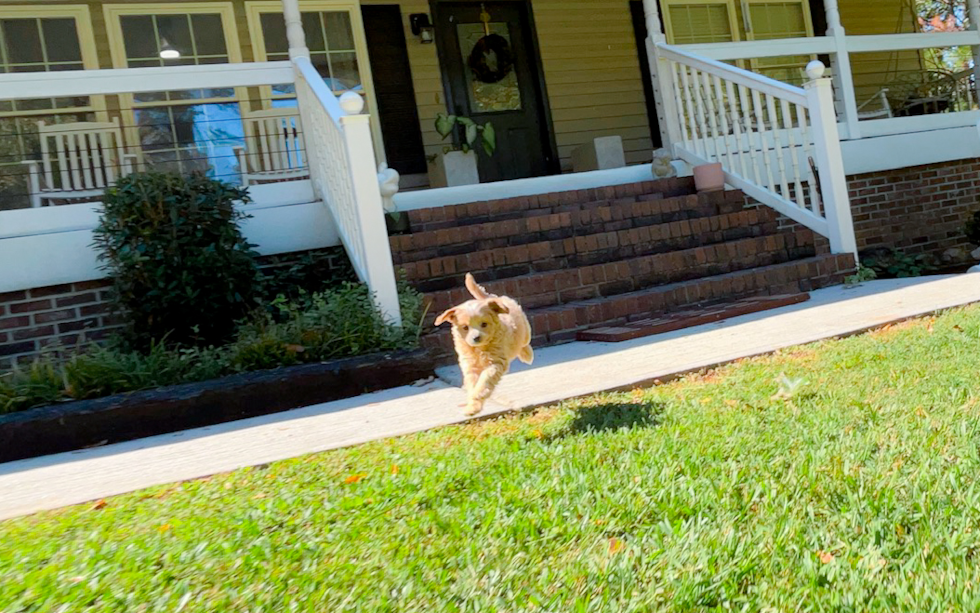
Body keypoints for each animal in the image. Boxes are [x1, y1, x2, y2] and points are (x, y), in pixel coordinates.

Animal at [434, 274, 532, 414]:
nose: (476, 337)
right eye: (465, 327)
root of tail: (492, 298)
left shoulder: (495, 363)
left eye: (484, 324)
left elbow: (485, 380)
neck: (479, 349)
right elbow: (473, 384)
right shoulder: (471, 366)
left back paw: (527, 354)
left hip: (524, 330)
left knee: (524, 342)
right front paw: (473, 406)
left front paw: (478, 395)